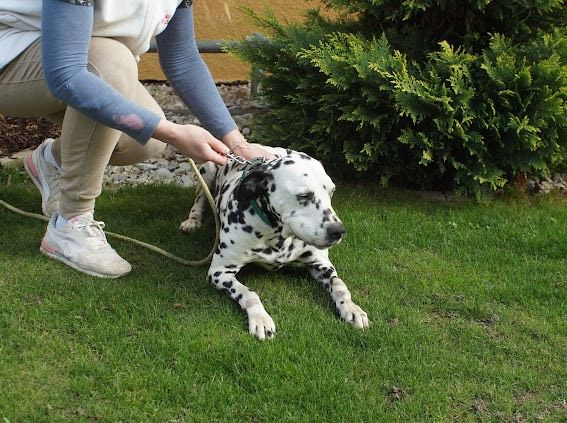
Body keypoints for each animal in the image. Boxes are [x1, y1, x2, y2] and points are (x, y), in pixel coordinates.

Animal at [180, 148, 370, 342]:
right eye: (303, 196)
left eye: (331, 192)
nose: (338, 231)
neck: (278, 236)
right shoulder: (219, 272)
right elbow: (248, 293)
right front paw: (260, 318)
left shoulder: (321, 264)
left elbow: (339, 285)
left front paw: (352, 307)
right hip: (207, 169)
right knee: (199, 198)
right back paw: (192, 221)